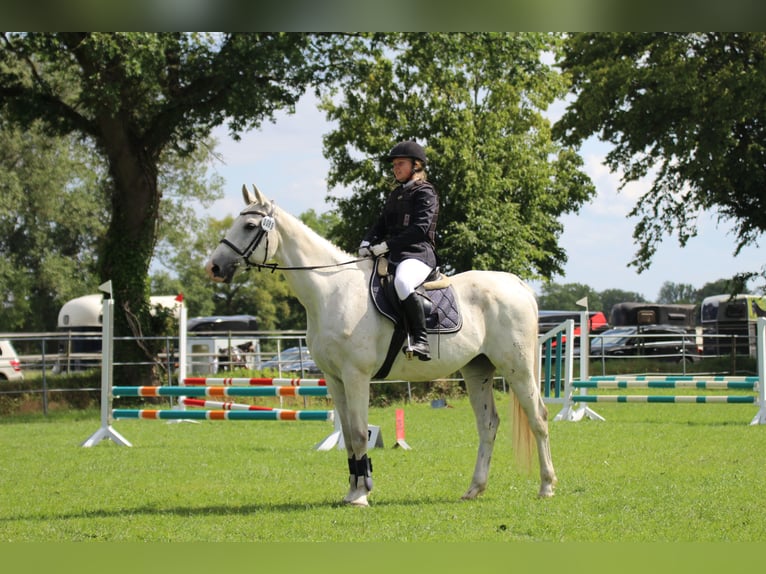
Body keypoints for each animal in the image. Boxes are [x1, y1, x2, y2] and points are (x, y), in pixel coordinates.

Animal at [207, 186, 560, 508]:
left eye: (249, 226)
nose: (214, 267)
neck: (332, 291)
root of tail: (517, 284)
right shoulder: (335, 379)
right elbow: (349, 436)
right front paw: (353, 490)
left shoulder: (356, 376)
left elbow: (359, 432)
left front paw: (362, 495)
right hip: (477, 369)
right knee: (488, 425)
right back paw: (474, 489)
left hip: (517, 368)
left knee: (538, 417)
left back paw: (546, 486)